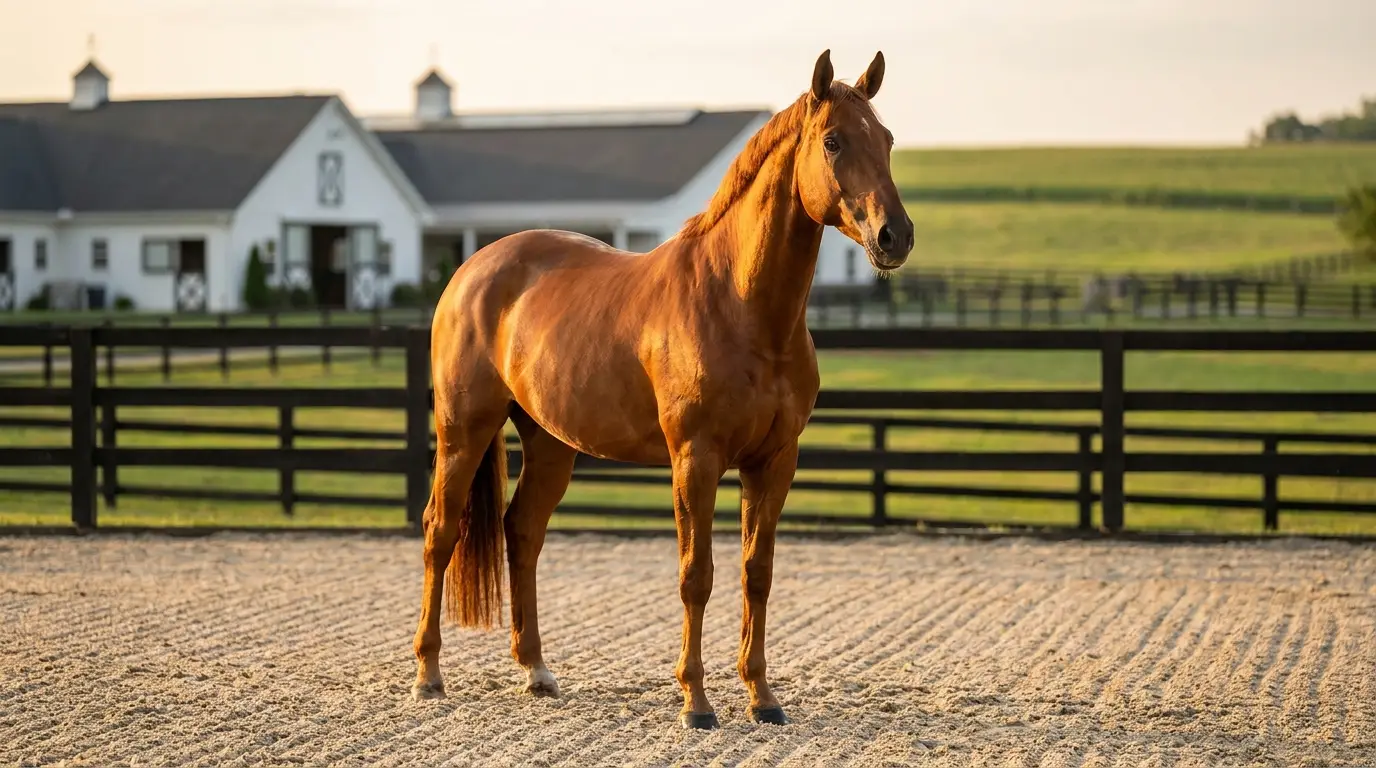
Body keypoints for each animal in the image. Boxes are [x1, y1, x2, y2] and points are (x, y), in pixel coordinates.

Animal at [409, 49, 913, 730]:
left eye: (886, 139)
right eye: (833, 141)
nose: (895, 236)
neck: (741, 304)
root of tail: (472, 270)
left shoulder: (774, 462)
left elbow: (757, 573)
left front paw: (762, 697)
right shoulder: (694, 460)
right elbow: (695, 575)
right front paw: (696, 703)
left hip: (550, 443)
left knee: (523, 532)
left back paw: (536, 670)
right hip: (463, 430)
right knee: (440, 532)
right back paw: (429, 674)